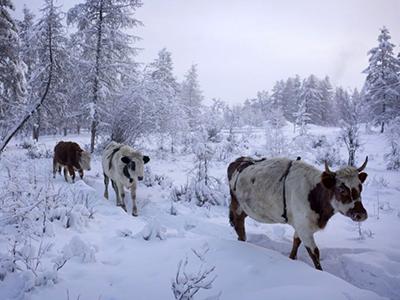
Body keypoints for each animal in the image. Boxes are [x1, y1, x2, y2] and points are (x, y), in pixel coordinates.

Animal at [228, 156, 368, 270]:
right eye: (341, 189)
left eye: (360, 187)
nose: (361, 214)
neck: (314, 194)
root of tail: (240, 160)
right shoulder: (304, 228)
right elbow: (315, 253)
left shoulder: (300, 226)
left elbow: (296, 243)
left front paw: (292, 259)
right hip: (237, 206)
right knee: (239, 225)